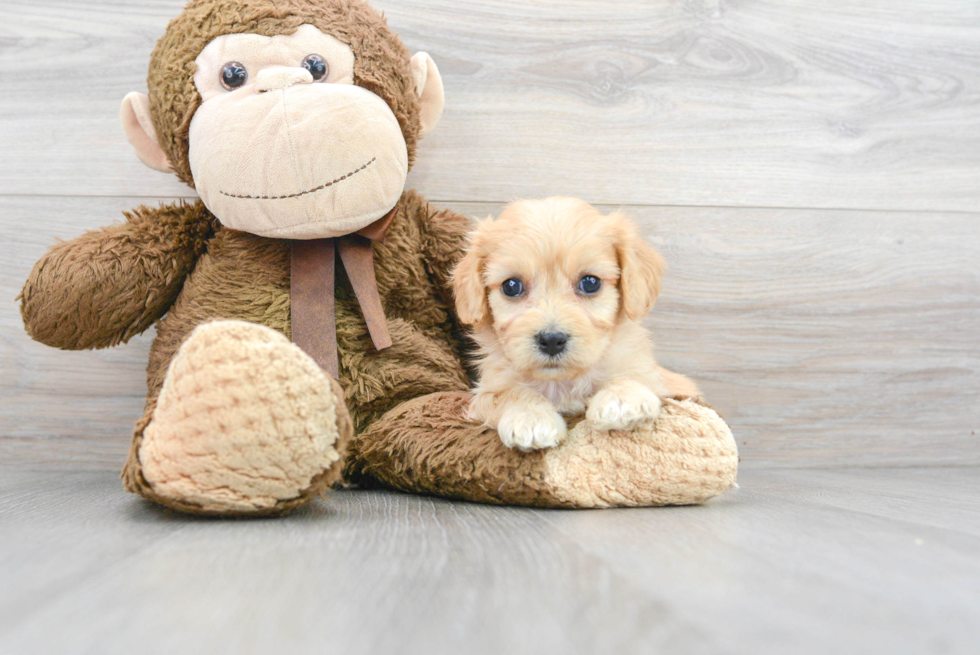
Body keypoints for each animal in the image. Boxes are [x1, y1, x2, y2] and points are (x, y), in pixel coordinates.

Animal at [456, 196, 700, 452]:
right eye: (511, 286)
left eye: (590, 283)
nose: (551, 340)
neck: (562, 382)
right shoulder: (485, 392)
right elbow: (509, 393)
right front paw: (531, 418)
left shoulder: (653, 375)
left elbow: (634, 374)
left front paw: (622, 398)